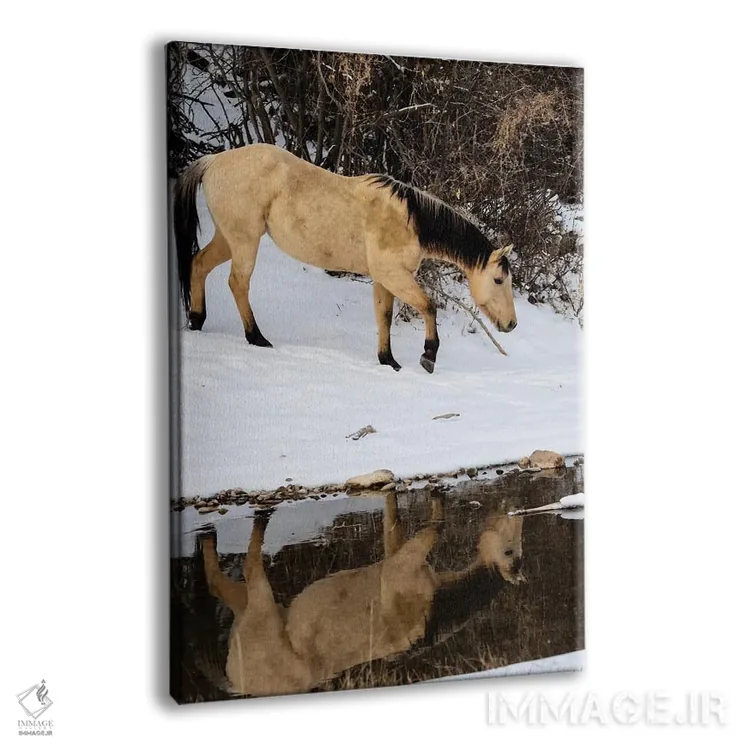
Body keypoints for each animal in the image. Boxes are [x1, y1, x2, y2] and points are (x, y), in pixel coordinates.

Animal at [173, 143, 518, 373]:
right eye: (498, 279)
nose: (512, 324)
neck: (410, 221)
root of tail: (214, 160)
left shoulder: (384, 279)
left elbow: (383, 316)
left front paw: (388, 361)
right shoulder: (394, 276)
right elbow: (428, 306)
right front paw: (428, 357)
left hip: (228, 238)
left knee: (198, 264)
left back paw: (197, 320)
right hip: (245, 241)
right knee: (238, 283)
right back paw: (256, 337)